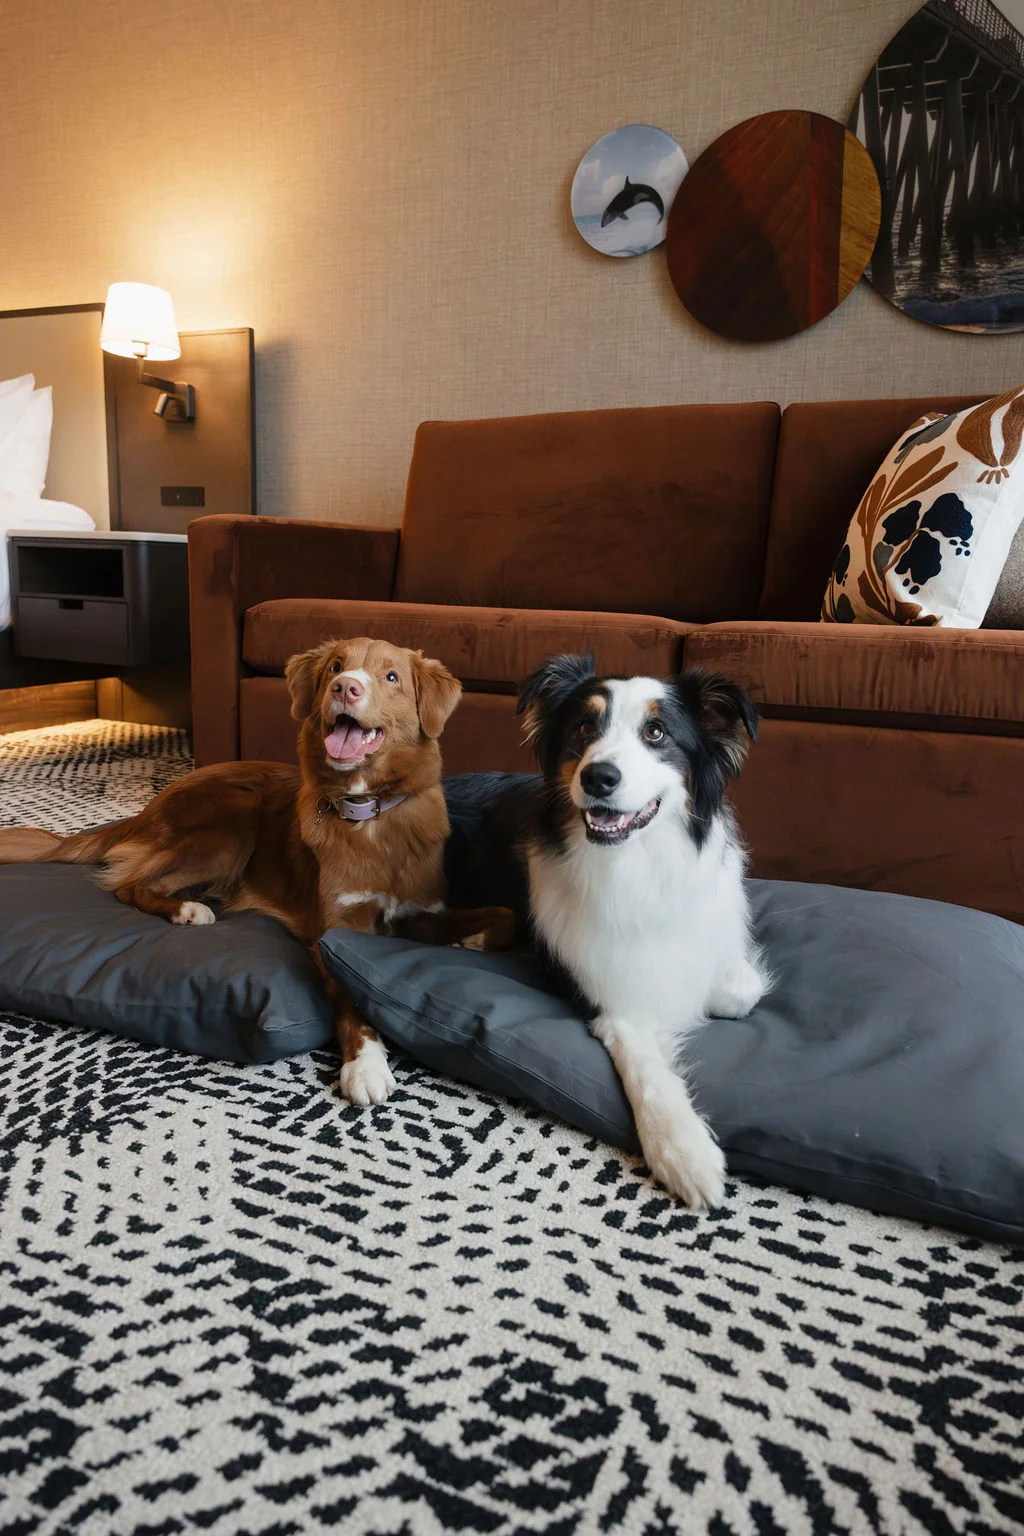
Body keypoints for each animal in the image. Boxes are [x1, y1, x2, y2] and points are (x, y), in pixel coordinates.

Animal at [0, 636, 511, 1105]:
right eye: (335, 667)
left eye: (390, 677)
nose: (345, 687)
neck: (370, 816)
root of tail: (150, 807)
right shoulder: (334, 930)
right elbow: (352, 997)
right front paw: (365, 1065)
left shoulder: (425, 910)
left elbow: (501, 915)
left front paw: (474, 941)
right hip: (231, 825)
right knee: (129, 884)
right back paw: (188, 910)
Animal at [514, 654, 769, 1211]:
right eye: (583, 727)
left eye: (656, 732)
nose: (598, 777)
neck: (639, 863)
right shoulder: (611, 998)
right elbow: (647, 1067)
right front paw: (684, 1151)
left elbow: (738, 989)